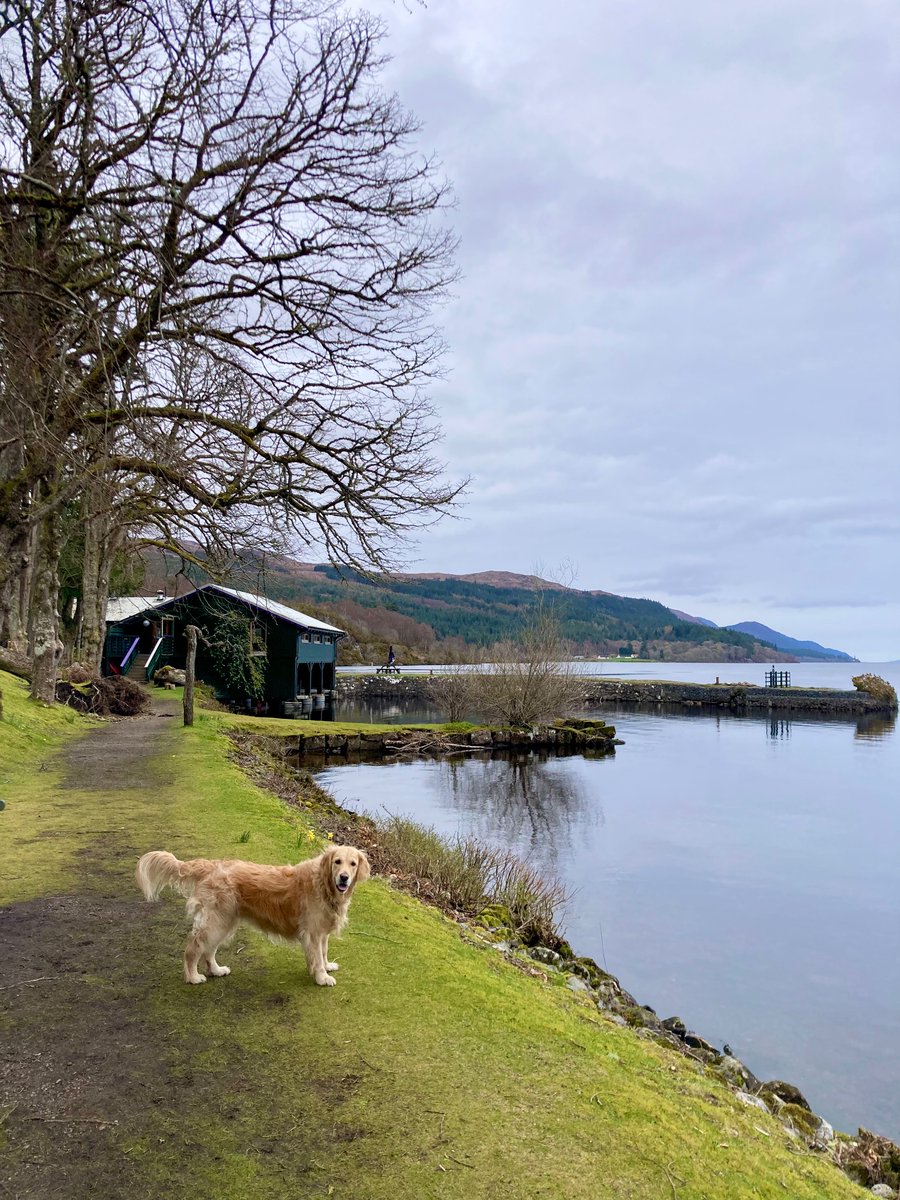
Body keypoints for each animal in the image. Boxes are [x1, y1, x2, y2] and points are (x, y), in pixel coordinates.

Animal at [133, 844, 369, 984]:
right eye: (337, 862)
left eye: (353, 863)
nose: (344, 878)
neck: (323, 883)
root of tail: (209, 865)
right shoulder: (312, 932)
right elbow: (317, 956)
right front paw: (322, 977)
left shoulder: (321, 931)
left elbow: (324, 951)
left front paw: (327, 967)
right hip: (217, 921)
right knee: (194, 948)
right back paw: (193, 977)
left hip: (225, 922)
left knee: (208, 950)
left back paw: (216, 970)